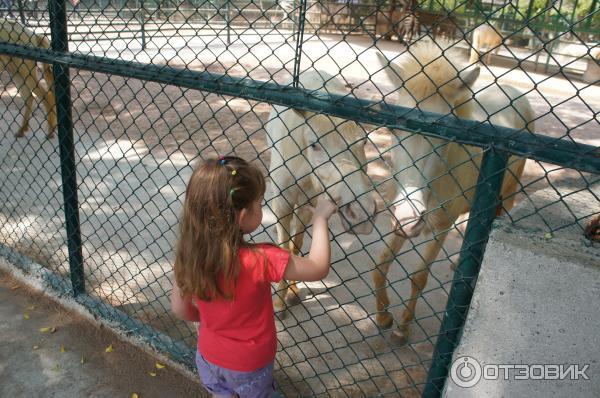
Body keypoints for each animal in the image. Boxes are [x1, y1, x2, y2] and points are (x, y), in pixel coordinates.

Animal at [268, 70, 378, 314]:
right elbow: (284, 246)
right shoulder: (282, 203)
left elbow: (296, 244)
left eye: (364, 142)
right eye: (315, 144)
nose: (361, 214)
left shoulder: (309, 202)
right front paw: (279, 303)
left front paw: (292, 291)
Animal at [376, 42, 536, 342]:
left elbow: (419, 277)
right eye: (394, 130)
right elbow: (381, 265)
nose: (409, 217)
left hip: (506, 196)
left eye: (445, 137)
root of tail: (514, 91)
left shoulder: (441, 226)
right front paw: (383, 316)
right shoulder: (398, 221)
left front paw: (403, 328)